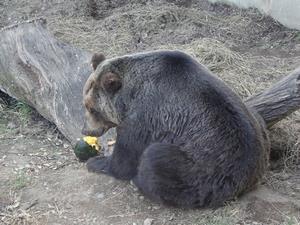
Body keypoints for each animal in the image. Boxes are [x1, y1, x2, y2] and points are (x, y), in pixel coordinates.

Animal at [81, 50, 270, 208]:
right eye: (86, 104)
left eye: (92, 108)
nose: (86, 130)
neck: (129, 96)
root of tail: (251, 177)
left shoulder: (144, 117)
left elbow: (125, 160)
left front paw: (97, 162)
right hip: (255, 120)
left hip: (203, 170)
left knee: (156, 160)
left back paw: (140, 181)